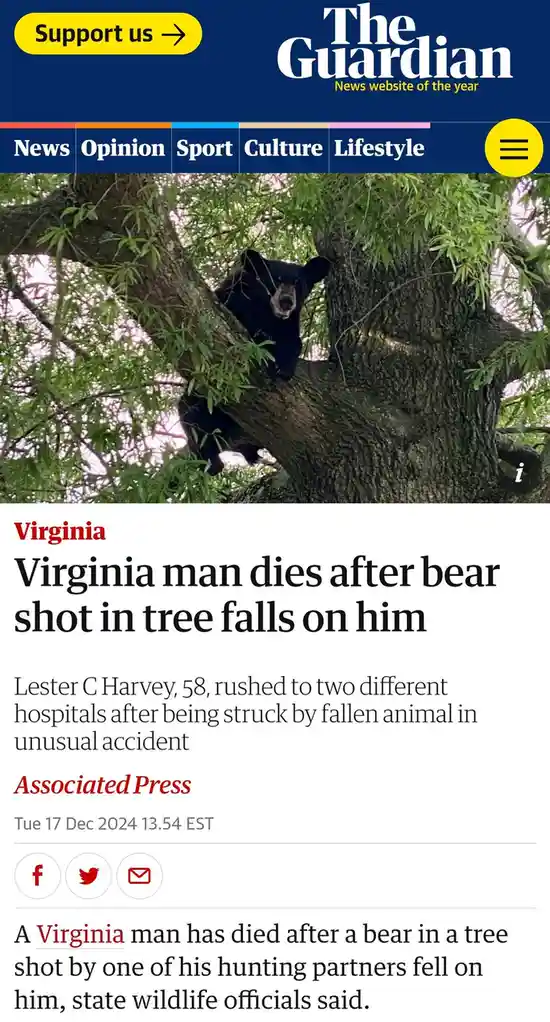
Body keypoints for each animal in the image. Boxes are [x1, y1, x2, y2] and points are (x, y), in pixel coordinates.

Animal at [179, 249, 331, 475]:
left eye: (298, 283)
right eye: (275, 280)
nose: (286, 301)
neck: (267, 311)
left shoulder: (288, 324)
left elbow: (293, 342)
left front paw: (283, 366)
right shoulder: (234, 296)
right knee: (190, 412)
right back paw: (212, 461)